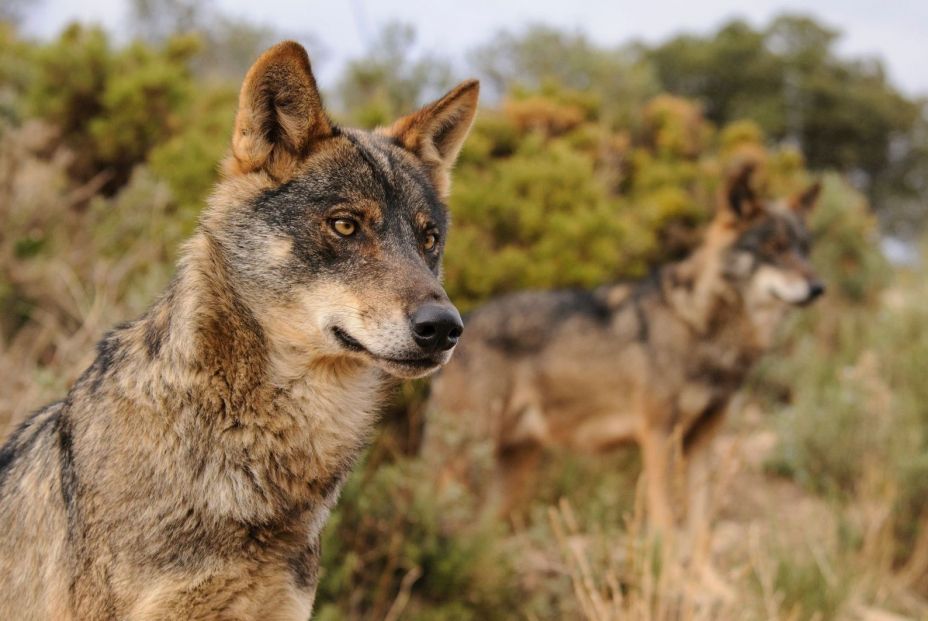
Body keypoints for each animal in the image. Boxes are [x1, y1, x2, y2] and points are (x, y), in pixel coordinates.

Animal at [424, 163, 824, 536]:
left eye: (804, 250)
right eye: (774, 249)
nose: (818, 287)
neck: (700, 324)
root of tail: (462, 324)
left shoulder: (702, 443)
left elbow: (700, 531)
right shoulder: (658, 436)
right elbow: (666, 524)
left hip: (512, 468)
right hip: (462, 458)